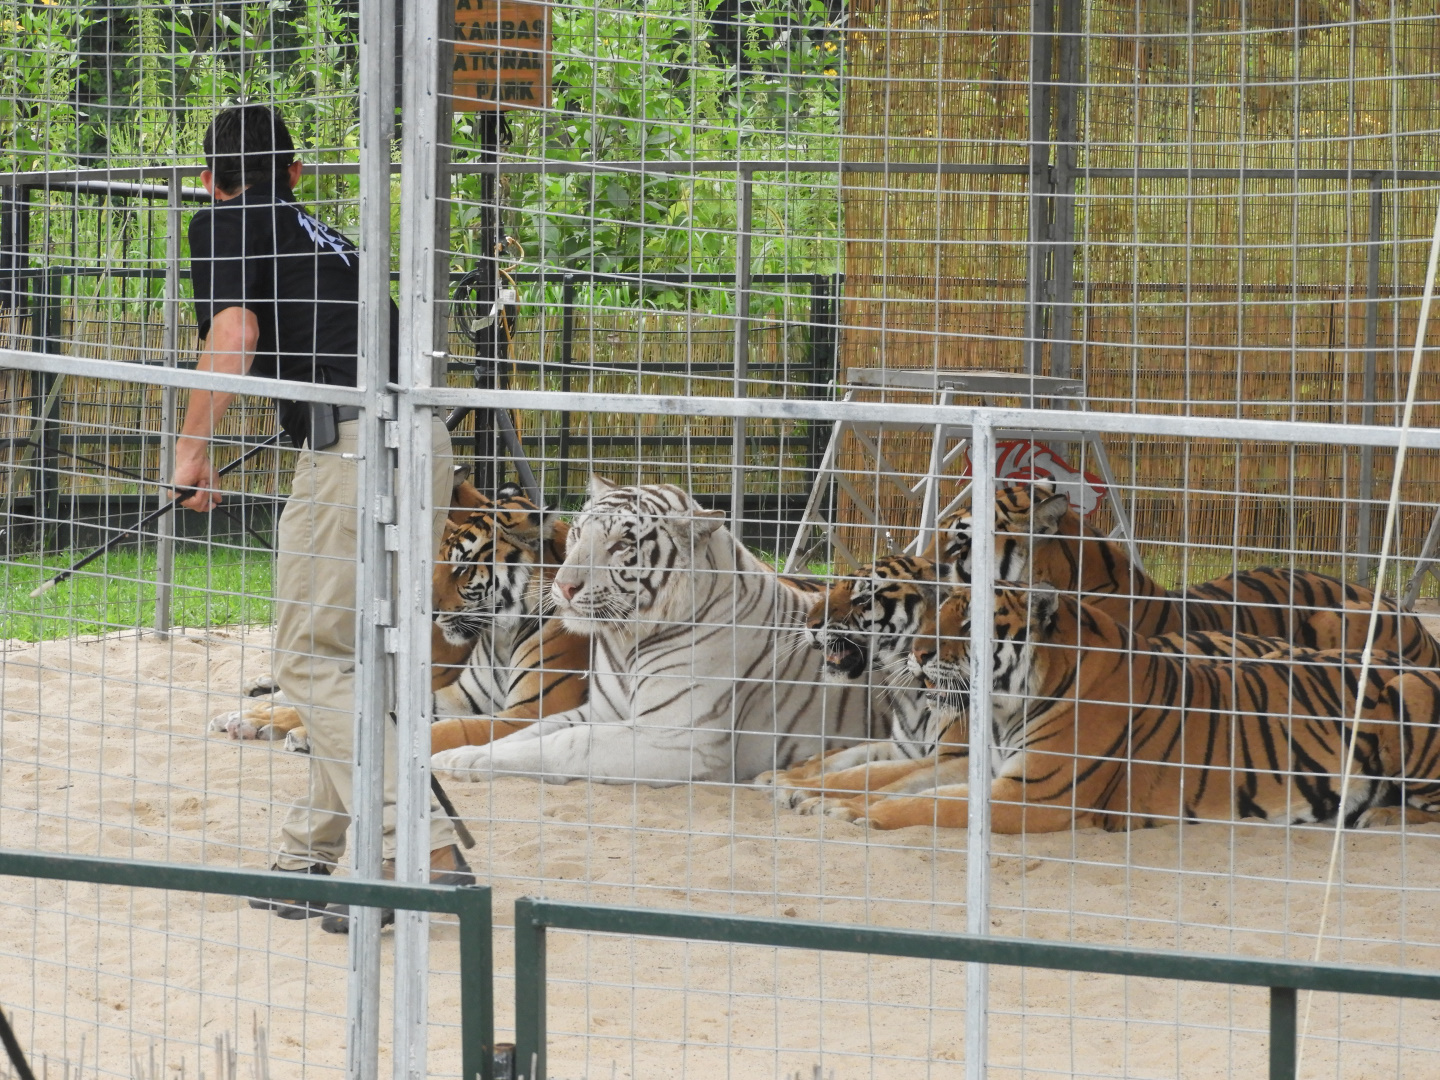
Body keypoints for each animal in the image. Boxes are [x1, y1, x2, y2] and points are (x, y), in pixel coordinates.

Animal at [431, 475, 883, 785]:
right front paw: (462, 756)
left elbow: (568, 743)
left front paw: (465, 759)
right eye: (578, 533)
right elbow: (529, 733)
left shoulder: (676, 738)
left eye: (621, 546)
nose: (563, 585)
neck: (624, 640)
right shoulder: (596, 711)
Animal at [812, 583, 1440, 833]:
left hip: (1409, 694)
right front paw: (826, 801)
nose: (917, 655)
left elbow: (931, 805)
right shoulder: (992, 770)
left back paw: (1379, 817)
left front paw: (851, 814)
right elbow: (906, 784)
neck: (1007, 706)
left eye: (968, 624)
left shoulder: (1035, 795)